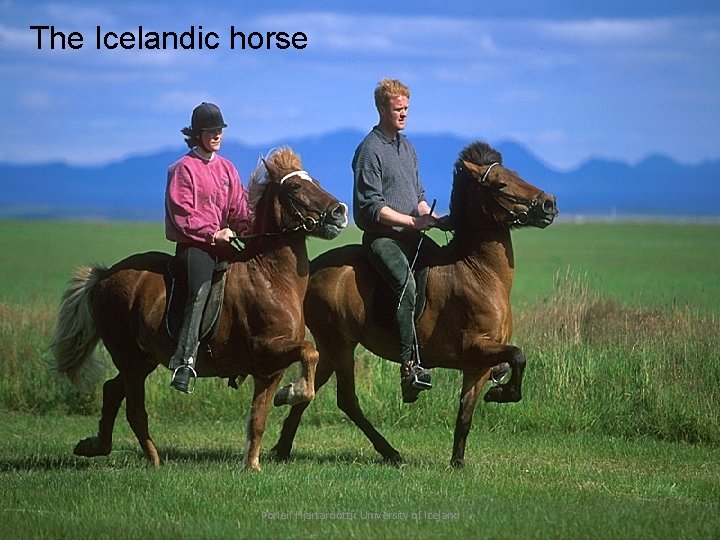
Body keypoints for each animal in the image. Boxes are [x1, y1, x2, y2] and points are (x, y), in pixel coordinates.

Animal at [49, 148, 348, 468]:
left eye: (316, 182)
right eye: (294, 187)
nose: (340, 211)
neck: (271, 277)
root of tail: (105, 276)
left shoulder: (269, 369)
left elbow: (259, 418)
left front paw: (253, 463)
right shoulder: (266, 349)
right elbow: (310, 351)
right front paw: (291, 393)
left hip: (142, 359)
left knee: (112, 390)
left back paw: (94, 446)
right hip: (128, 357)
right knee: (134, 409)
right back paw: (154, 461)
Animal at [270, 141, 556, 466]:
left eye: (515, 174)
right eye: (500, 183)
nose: (549, 204)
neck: (479, 272)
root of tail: (313, 269)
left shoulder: (477, 365)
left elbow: (466, 414)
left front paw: (457, 463)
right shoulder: (475, 346)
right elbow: (518, 355)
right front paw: (502, 394)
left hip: (330, 349)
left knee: (310, 392)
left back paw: (282, 449)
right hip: (340, 346)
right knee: (347, 400)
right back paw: (390, 452)